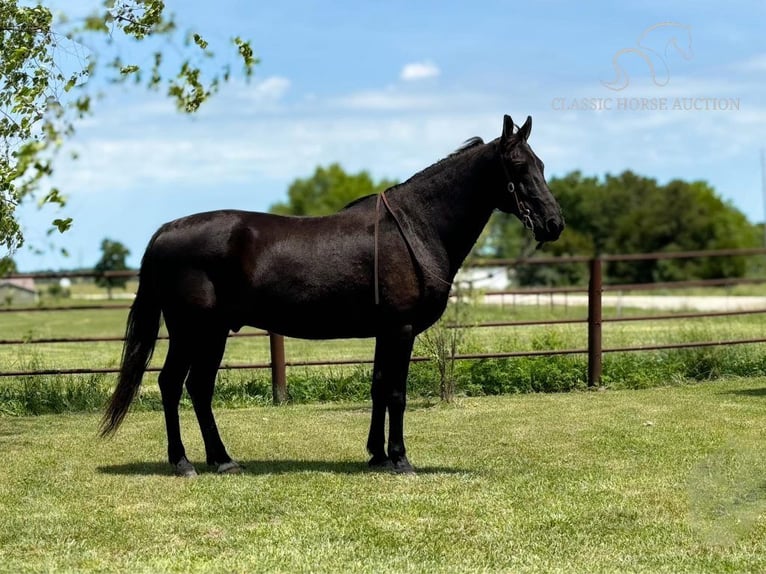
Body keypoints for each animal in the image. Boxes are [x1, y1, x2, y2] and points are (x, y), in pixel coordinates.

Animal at [100, 116, 564, 476]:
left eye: (542, 164)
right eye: (519, 165)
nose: (554, 223)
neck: (415, 228)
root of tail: (166, 230)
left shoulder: (386, 332)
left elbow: (378, 387)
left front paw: (377, 456)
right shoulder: (401, 330)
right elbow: (397, 392)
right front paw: (400, 460)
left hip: (213, 333)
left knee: (198, 387)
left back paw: (223, 460)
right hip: (190, 331)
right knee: (170, 384)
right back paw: (183, 463)